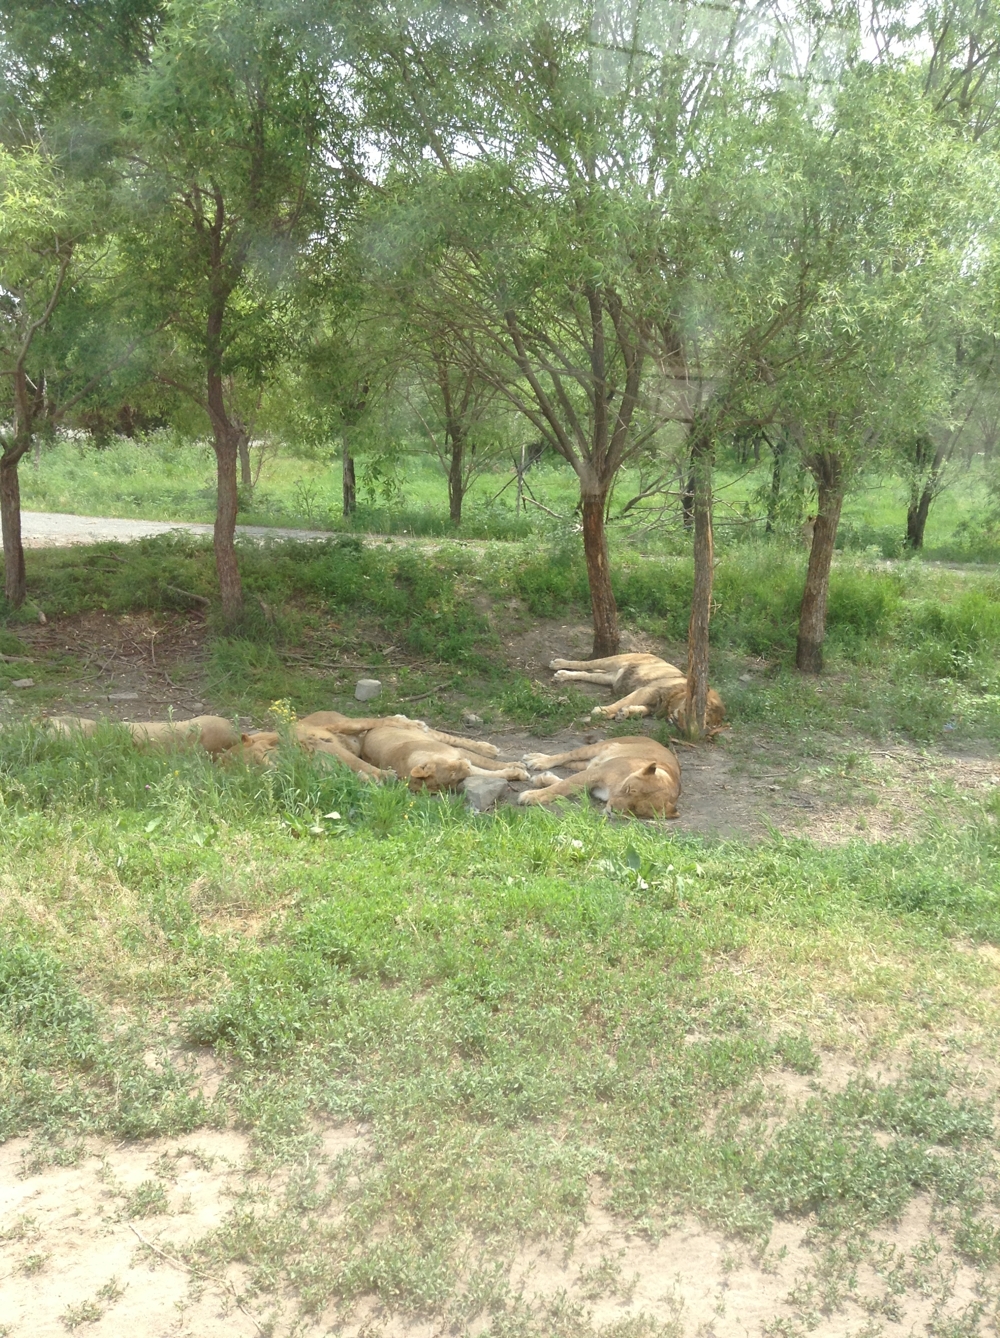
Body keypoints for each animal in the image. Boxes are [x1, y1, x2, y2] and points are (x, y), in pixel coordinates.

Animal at [516, 738, 680, 818]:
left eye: (634, 809)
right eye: (628, 789)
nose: (612, 810)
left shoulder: (593, 778)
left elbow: (567, 786)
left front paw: (539, 785)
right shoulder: (598, 772)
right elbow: (563, 786)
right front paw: (531, 796)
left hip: (588, 763)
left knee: (572, 764)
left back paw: (542, 773)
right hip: (595, 748)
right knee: (565, 756)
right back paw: (537, 760)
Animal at [551, 650, 722, 727]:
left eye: (707, 723)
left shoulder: (651, 706)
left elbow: (639, 710)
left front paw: (623, 714)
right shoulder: (648, 691)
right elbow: (622, 702)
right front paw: (602, 711)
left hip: (609, 677)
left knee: (588, 673)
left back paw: (562, 675)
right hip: (613, 660)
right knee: (585, 664)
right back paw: (558, 664)